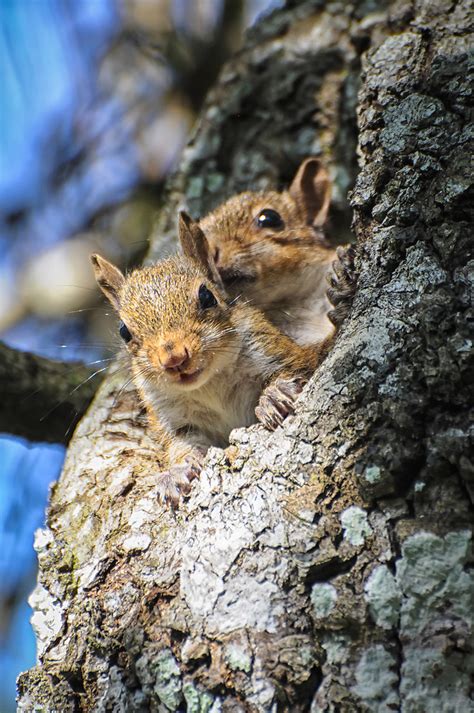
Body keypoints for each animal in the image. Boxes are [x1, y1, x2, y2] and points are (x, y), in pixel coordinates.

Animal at [90, 214, 332, 504]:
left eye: (207, 297)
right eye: (124, 331)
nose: (174, 359)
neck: (210, 383)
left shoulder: (272, 350)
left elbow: (296, 367)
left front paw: (274, 397)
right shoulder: (171, 414)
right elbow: (182, 444)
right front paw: (176, 474)